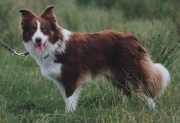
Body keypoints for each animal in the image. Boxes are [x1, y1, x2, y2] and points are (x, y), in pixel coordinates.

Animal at [19, 6, 170, 112]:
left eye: (44, 29)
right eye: (32, 29)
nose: (38, 40)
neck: (55, 45)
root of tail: (131, 37)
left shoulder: (71, 77)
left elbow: (70, 99)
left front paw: (69, 115)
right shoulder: (61, 80)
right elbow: (67, 98)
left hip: (132, 71)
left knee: (145, 90)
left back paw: (152, 109)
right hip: (115, 75)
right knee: (127, 90)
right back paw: (124, 108)